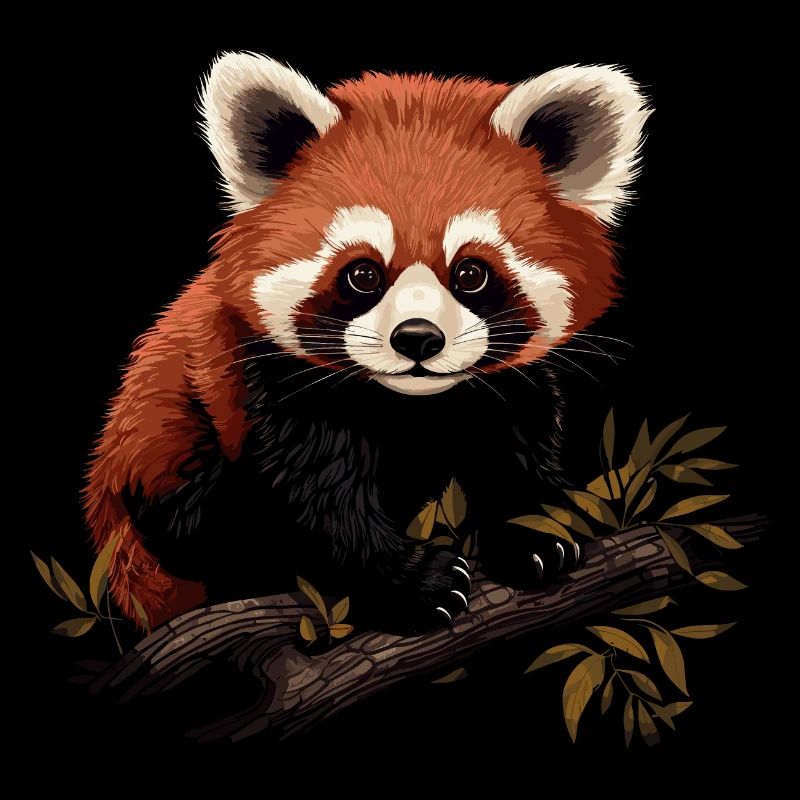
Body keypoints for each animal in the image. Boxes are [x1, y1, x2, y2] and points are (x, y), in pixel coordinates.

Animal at [84, 52, 650, 632]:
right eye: (362, 274)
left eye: (471, 273)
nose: (418, 338)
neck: (410, 407)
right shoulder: (268, 384)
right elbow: (315, 501)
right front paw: (416, 585)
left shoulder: (509, 388)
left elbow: (513, 446)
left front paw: (535, 531)